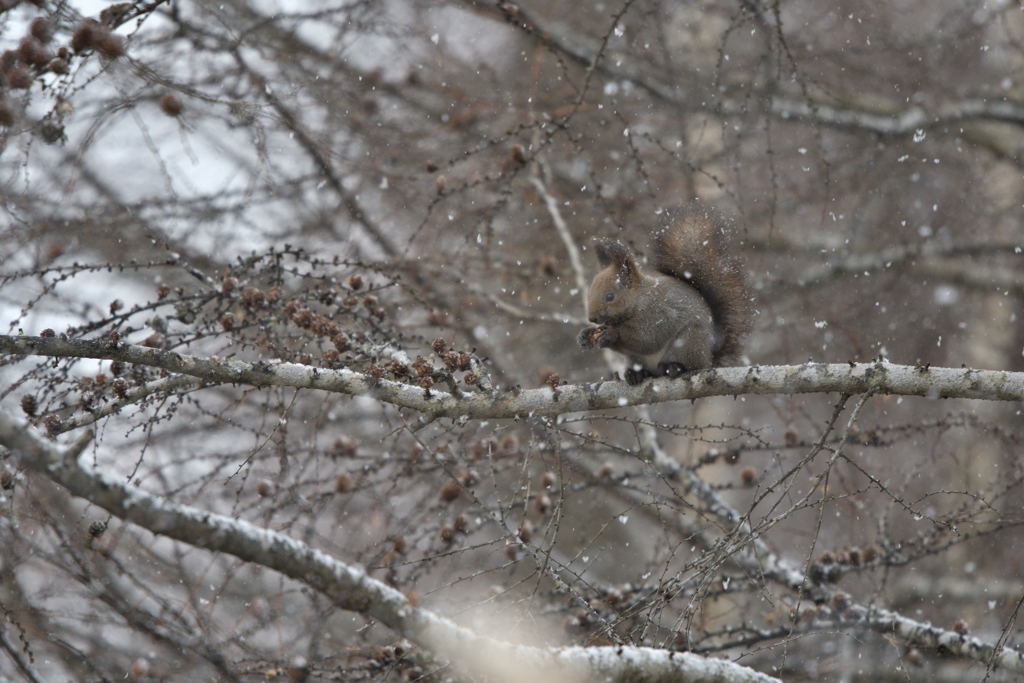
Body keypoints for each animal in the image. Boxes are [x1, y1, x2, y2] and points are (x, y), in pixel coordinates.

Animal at [577, 205, 753, 385]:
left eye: (610, 296)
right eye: (589, 293)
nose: (592, 318)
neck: (639, 300)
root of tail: (710, 357)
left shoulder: (659, 313)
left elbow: (647, 339)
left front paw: (611, 335)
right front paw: (585, 335)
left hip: (689, 342)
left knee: (691, 365)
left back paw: (674, 368)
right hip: (636, 359)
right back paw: (636, 374)